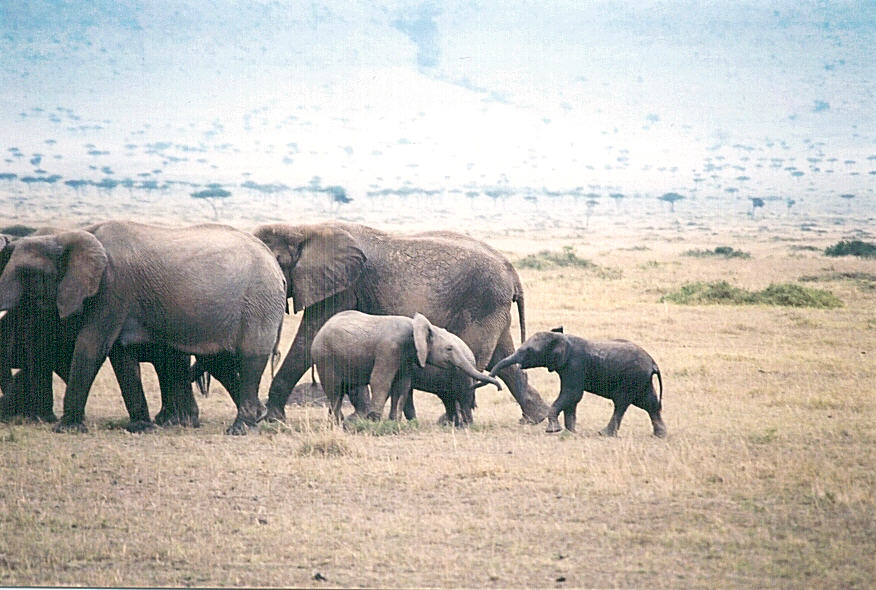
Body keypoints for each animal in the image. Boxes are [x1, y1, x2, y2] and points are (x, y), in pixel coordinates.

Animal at [0, 220, 286, 434]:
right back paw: (257, 418)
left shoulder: (114, 287)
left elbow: (92, 344)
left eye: (27, 274)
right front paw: (141, 427)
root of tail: (276, 267)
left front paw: (67, 429)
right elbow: (120, 354)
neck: (71, 235)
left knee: (250, 358)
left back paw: (240, 429)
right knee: (222, 361)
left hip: (259, 301)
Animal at [312, 310, 503, 425]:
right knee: (335, 389)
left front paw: (394, 422)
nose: (499, 388)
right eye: (449, 349)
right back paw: (337, 423)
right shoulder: (389, 349)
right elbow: (381, 380)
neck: (417, 326)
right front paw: (375, 421)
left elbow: (402, 384)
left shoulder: (406, 357)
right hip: (325, 357)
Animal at [490, 327, 666, 437]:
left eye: (529, 351)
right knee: (649, 403)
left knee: (622, 403)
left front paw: (553, 431)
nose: (497, 388)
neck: (563, 338)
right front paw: (570, 432)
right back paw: (660, 435)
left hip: (632, 378)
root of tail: (653, 363)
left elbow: (571, 394)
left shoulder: (575, 365)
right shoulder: (567, 368)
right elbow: (571, 399)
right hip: (641, 380)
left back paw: (604, 434)